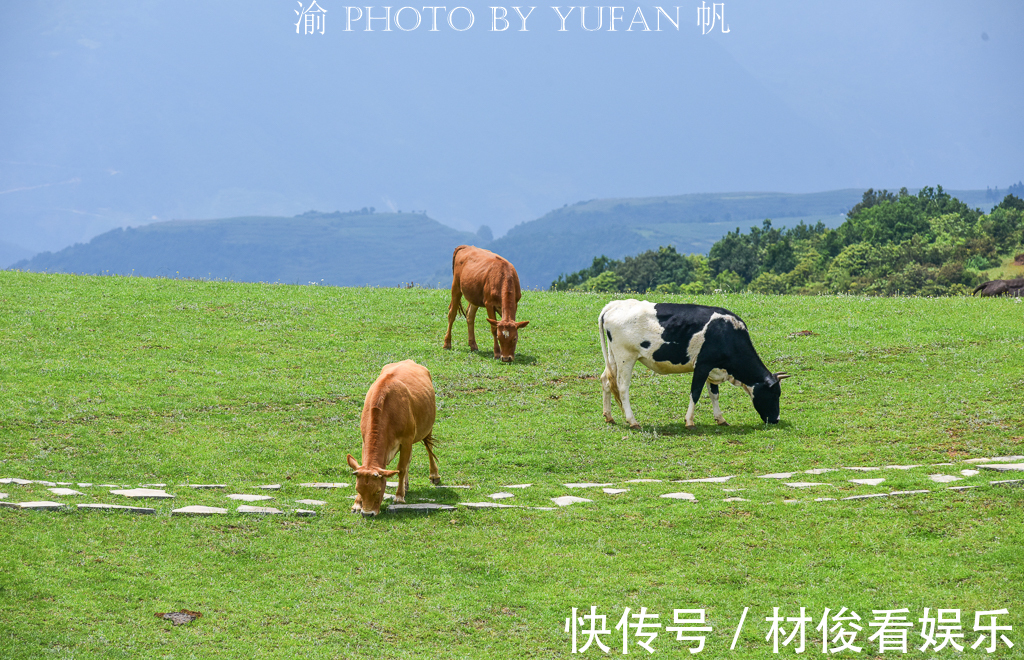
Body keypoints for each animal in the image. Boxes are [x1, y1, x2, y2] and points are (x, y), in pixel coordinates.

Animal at [346, 360, 442, 515]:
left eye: (378, 491)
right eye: (358, 489)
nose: (367, 513)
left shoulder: (406, 440)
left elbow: (401, 468)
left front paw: (399, 496)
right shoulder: (365, 440)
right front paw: (357, 504)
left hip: (427, 427)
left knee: (429, 449)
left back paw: (434, 475)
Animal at [598, 296, 786, 427]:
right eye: (774, 394)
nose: (776, 419)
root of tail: (613, 305)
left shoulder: (713, 368)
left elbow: (714, 394)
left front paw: (720, 419)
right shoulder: (702, 365)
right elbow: (695, 393)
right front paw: (689, 421)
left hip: (613, 357)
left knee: (606, 380)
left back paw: (609, 416)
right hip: (626, 357)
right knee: (623, 387)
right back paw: (632, 421)